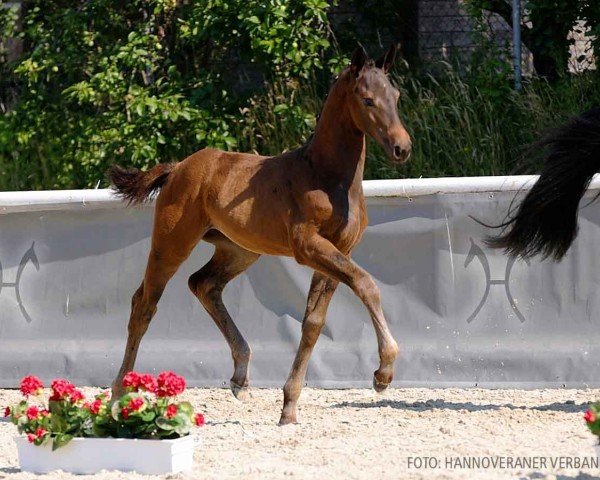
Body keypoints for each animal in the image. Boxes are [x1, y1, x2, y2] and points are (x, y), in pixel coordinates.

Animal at [109, 47, 412, 424]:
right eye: (367, 99)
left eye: (395, 96)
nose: (402, 147)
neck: (325, 176)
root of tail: (177, 168)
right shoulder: (308, 246)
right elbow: (366, 284)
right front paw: (383, 373)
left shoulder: (338, 250)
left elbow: (314, 322)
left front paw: (289, 407)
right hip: (171, 244)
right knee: (144, 304)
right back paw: (119, 393)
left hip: (239, 250)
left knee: (203, 284)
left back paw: (240, 377)